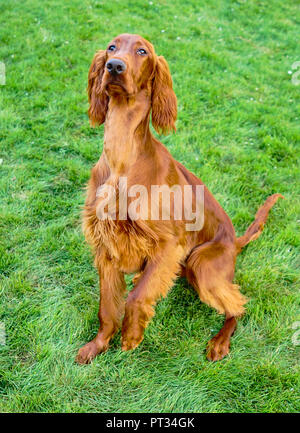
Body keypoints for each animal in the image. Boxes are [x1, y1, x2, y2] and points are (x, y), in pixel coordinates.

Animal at [75, 33, 284, 362]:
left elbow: (135, 299)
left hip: (201, 263)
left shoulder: (170, 243)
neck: (123, 161)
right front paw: (97, 346)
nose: (115, 66)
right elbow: (106, 308)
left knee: (238, 305)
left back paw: (220, 341)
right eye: (111, 47)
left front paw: (131, 335)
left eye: (142, 51)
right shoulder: (106, 244)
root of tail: (235, 242)